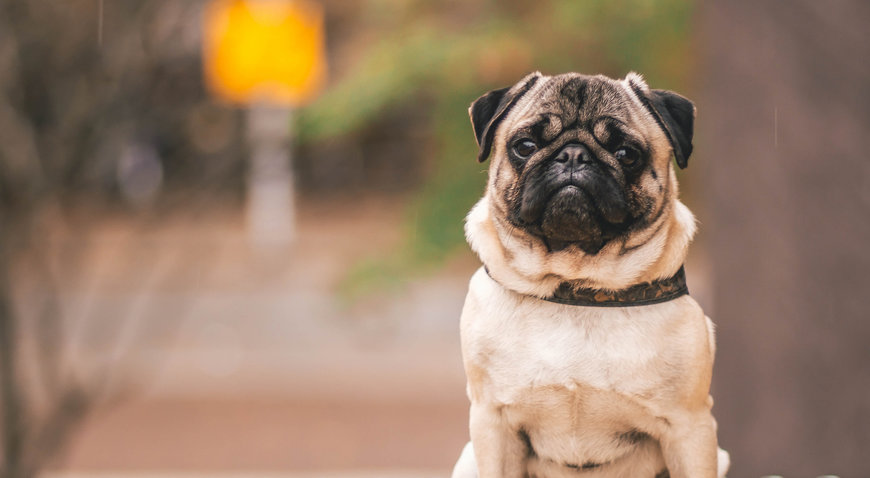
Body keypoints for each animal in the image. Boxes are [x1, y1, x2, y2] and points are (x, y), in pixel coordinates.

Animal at [450, 72, 728, 478]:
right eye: (525, 146)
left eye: (627, 154)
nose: (573, 155)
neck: (577, 288)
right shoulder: (492, 422)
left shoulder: (689, 427)